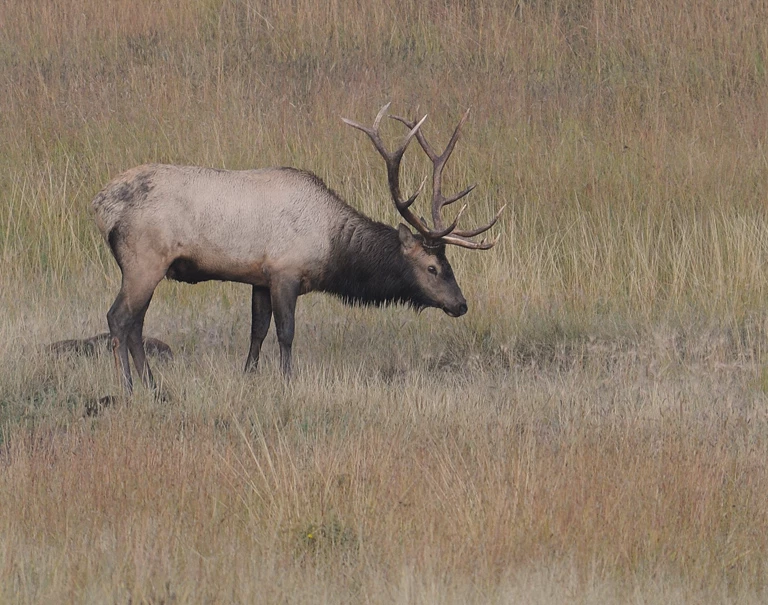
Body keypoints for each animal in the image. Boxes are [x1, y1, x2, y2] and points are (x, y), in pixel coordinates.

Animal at [92, 103, 504, 394]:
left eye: (449, 264)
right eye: (433, 267)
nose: (461, 304)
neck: (331, 249)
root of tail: (101, 205)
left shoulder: (259, 278)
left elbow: (257, 332)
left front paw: (250, 377)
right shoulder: (284, 272)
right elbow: (286, 333)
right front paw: (287, 383)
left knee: (136, 323)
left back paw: (153, 386)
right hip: (144, 260)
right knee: (119, 318)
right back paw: (129, 388)